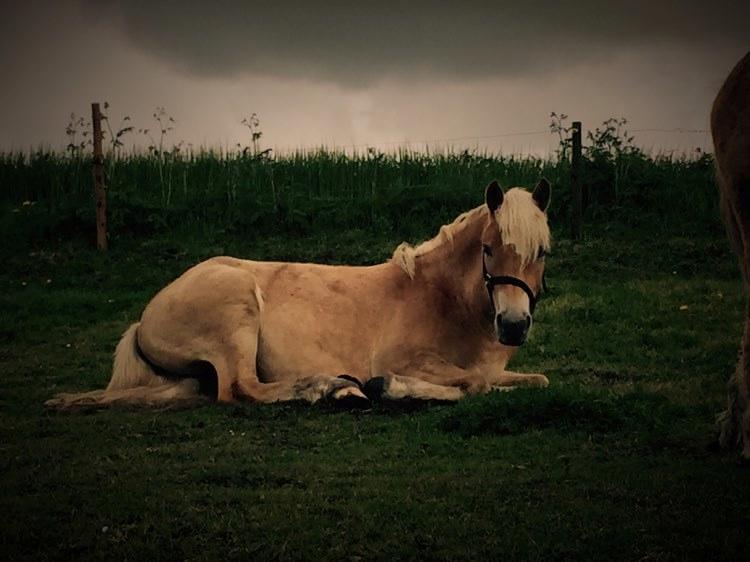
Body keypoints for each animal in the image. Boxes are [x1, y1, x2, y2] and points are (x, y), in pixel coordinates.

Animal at [47, 178, 552, 406]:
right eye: (487, 249)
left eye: (543, 251)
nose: (513, 326)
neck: (444, 300)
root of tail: (146, 317)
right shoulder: (408, 359)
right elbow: (471, 384)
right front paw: (385, 386)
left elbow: (529, 381)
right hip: (236, 312)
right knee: (242, 388)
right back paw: (331, 388)